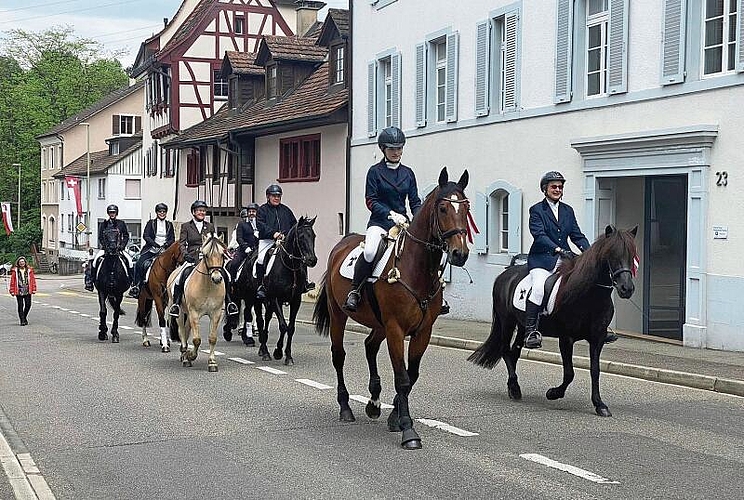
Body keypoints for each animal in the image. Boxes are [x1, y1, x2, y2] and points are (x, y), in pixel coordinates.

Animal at [168, 234, 228, 372]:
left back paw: (184, 354)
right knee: (182, 331)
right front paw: (191, 355)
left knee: (186, 329)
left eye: (222, 254)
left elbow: (212, 338)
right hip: (180, 312)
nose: (217, 278)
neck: (208, 286)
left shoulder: (216, 313)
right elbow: (196, 340)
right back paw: (185, 356)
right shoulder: (194, 313)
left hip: (188, 315)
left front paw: (212, 362)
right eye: (206, 255)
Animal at [256, 217, 316, 366]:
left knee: (267, 319)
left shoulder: (295, 301)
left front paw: (288, 356)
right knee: (262, 320)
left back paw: (264, 349)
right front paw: (278, 351)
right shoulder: (276, 299)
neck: (290, 267)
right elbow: (283, 326)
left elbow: (291, 328)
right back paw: (265, 351)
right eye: (301, 237)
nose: (312, 260)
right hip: (260, 300)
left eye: (313, 236)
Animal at [314, 167, 470, 450]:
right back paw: (345, 407)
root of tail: (342, 244)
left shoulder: (422, 331)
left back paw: (374, 403)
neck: (416, 269)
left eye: (466, 207)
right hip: (339, 315)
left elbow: (412, 374)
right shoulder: (396, 330)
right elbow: (403, 378)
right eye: (443, 208)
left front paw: (394, 416)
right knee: (339, 355)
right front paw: (408, 430)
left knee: (369, 346)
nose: (459, 254)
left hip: (379, 324)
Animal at [470, 225, 640, 416]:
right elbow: (569, 373)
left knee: (514, 352)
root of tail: (504, 275)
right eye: (612, 254)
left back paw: (513, 386)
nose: (627, 289)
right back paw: (514, 387)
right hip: (507, 322)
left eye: (632, 255)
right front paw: (553, 393)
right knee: (506, 350)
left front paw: (600, 405)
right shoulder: (566, 338)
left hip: (522, 326)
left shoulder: (598, 338)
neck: (589, 295)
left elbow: (595, 370)